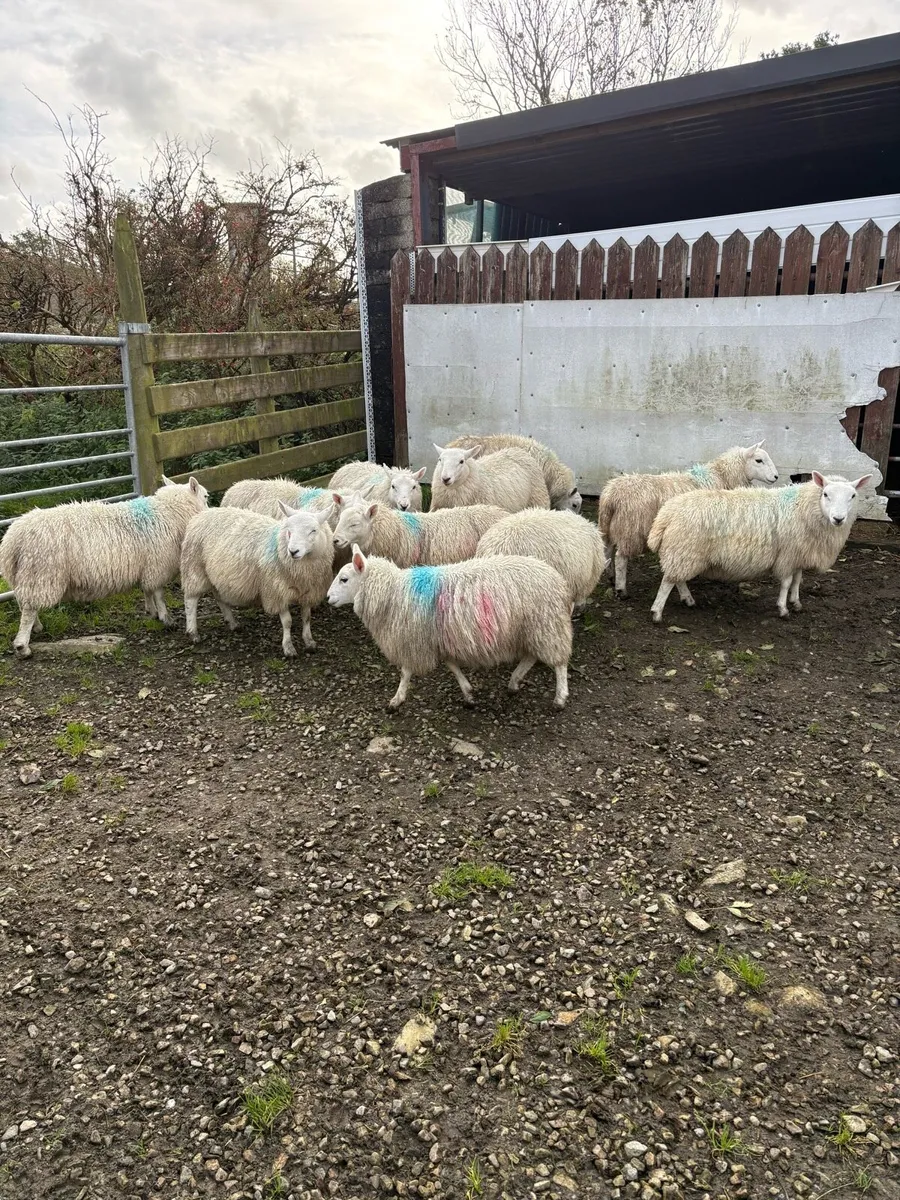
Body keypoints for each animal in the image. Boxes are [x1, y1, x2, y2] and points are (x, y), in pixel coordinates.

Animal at [0, 476, 208, 657]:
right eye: (206, 496)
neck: (169, 512)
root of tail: (12, 540)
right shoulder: (157, 565)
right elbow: (159, 594)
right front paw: (166, 618)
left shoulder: (147, 566)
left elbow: (147, 591)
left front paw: (151, 612)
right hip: (41, 574)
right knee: (28, 610)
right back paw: (23, 646)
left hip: (26, 576)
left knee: (25, 605)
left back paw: (36, 627)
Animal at [180, 502, 333, 656]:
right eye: (289, 530)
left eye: (313, 530)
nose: (293, 551)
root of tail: (203, 513)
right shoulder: (276, 591)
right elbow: (287, 622)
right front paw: (288, 647)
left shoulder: (309, 591)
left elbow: (306, 617)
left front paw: (309, 642)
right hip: (194, 567)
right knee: (190, 600)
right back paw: (193, 632)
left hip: (215, 574)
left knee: (218, 597)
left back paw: (232, 623)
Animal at [327, 545, 573, 708]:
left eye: (344, 579)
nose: (328, 597)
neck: (393, 593)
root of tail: (558, 580)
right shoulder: (440, 638)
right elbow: (452, 665)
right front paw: (468, 693)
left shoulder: (413, 641)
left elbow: (406, 672)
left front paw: (396, 700)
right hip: (533, 629)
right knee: (532, 656)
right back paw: (514, 681)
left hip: (546, 624)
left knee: (559, 663)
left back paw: (560, 697)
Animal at [597, 442, 779, 597]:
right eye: (758, 460)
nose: (776, 477)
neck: (722, 476)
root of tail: (610, 495)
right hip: (630, 529)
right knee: (621, 558)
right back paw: (621, 589)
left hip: (610, 527)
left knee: (608, 551)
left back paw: (611, 578)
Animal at [646, 472, 872, 623]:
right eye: (825, 494)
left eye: (853, 496)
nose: (838, 519)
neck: (803, 508)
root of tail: (666, 514)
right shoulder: (788, 555)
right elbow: (787, 582)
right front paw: (783, 608)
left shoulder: (799, 553)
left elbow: (797, 580)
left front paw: (796, 602)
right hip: (684, 550)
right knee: (668, 581)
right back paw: (657, 612)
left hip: (683, 552)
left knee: (677, 579)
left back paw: (688, 599)